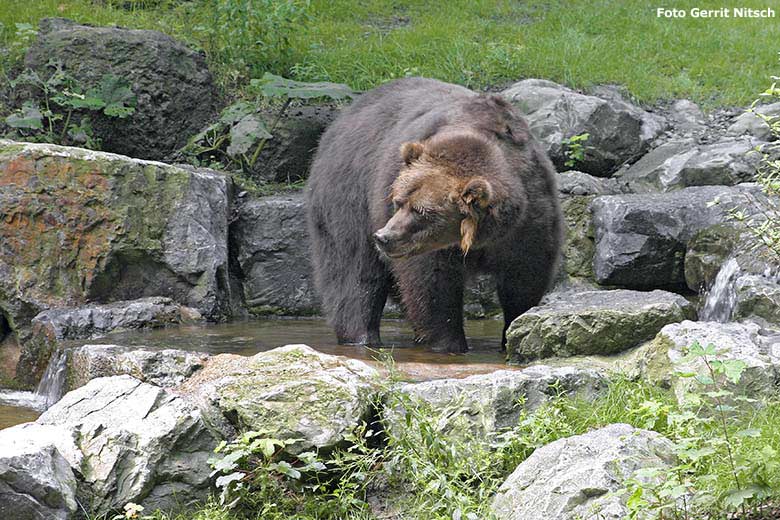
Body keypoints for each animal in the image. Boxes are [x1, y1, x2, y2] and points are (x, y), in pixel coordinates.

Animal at [304, 77, 560, 354]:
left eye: (421, 210)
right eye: (398, 201)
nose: (384, 236)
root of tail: (342, 118)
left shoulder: (529, 222)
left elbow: (524, 280)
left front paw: (513, 335)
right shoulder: (428, 248)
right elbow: (432, 287)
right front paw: (449, 342)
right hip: (350, 195)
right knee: (353, 274)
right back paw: (362, 336)